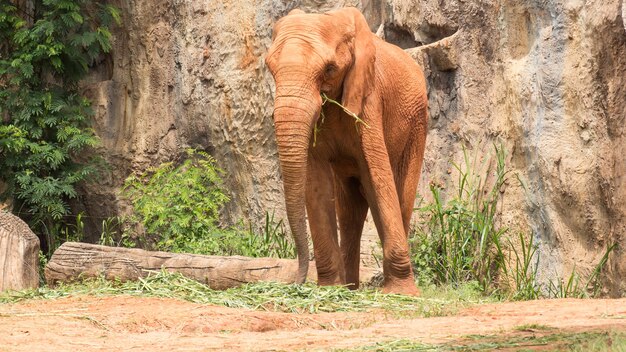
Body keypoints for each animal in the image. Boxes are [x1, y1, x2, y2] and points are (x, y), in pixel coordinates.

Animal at [264, 6, 428, 296]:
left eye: (329, 69)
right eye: (270, 68)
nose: (296, 281)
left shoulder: (370, 100)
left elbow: (378, 177)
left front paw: (400, 294)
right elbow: (316, 183)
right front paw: (330, 289)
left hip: (417, 126)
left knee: (398, 196)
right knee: (351, 209)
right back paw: (350, 288)